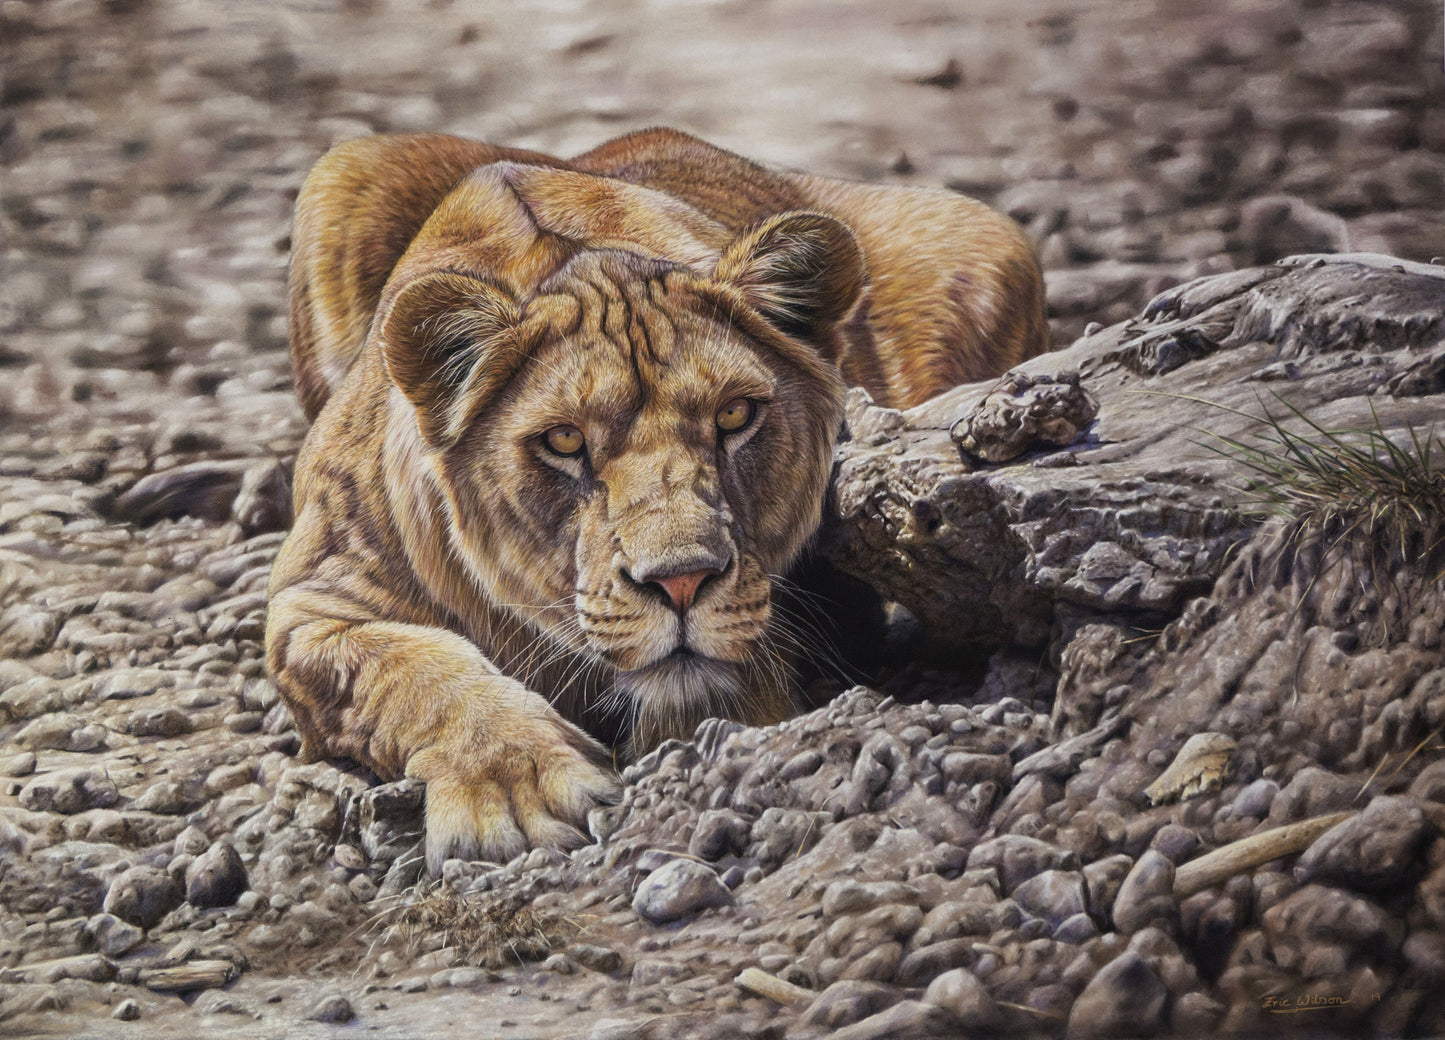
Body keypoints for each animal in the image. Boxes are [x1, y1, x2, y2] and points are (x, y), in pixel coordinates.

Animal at [266, 128, 1046, 871]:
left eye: (735, 415)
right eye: (563, 440)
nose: (682, 583)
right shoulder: (313, 605)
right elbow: (416, 673)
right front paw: (515, 791)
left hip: (984, 235)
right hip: (344, 169)